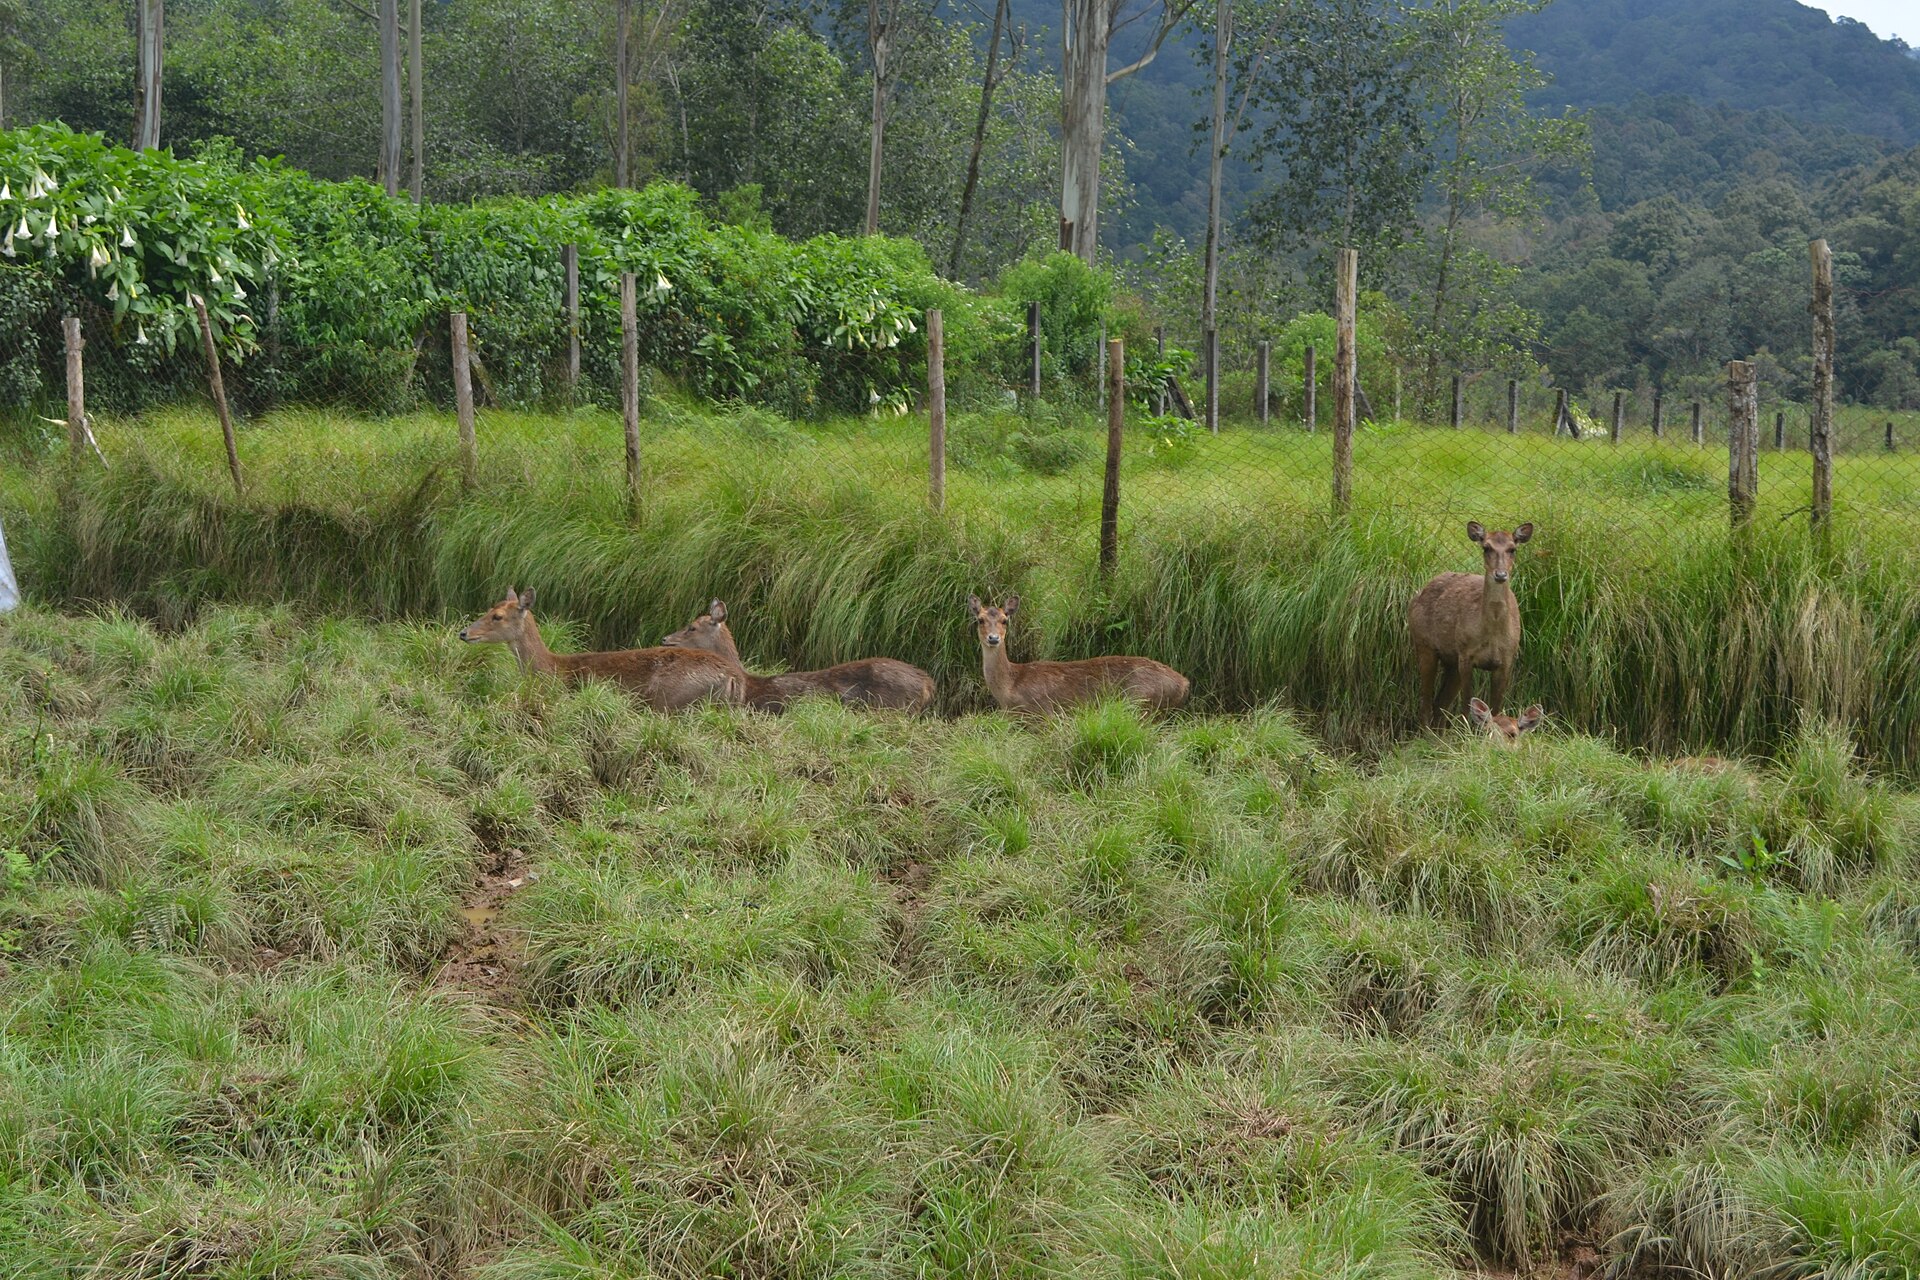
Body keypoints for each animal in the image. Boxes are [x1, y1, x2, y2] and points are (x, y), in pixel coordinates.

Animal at [459, 588, 742, 711]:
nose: (464, 633)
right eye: (488, 608)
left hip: (671, 700)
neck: (552, 669)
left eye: (497, 616)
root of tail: (731, 677)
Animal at [967, 595, 1190, 714]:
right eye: (980, 619)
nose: (993, 638)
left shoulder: (1044, 713)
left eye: (1005, 620)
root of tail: (1183, 683)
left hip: (1140, 702)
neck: (1010, 687)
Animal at [1409, 521, 1534, 728]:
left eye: (1512, 549)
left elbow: (1496, 709)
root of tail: (1417, 595)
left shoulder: (1506, 660)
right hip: (1424, 644)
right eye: (1486, 547)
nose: (1500, 574)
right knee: (1425, 703)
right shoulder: (1466, 655)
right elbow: (1467, 707)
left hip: (1451, 660)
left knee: (1439, 704)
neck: (1492, 635)